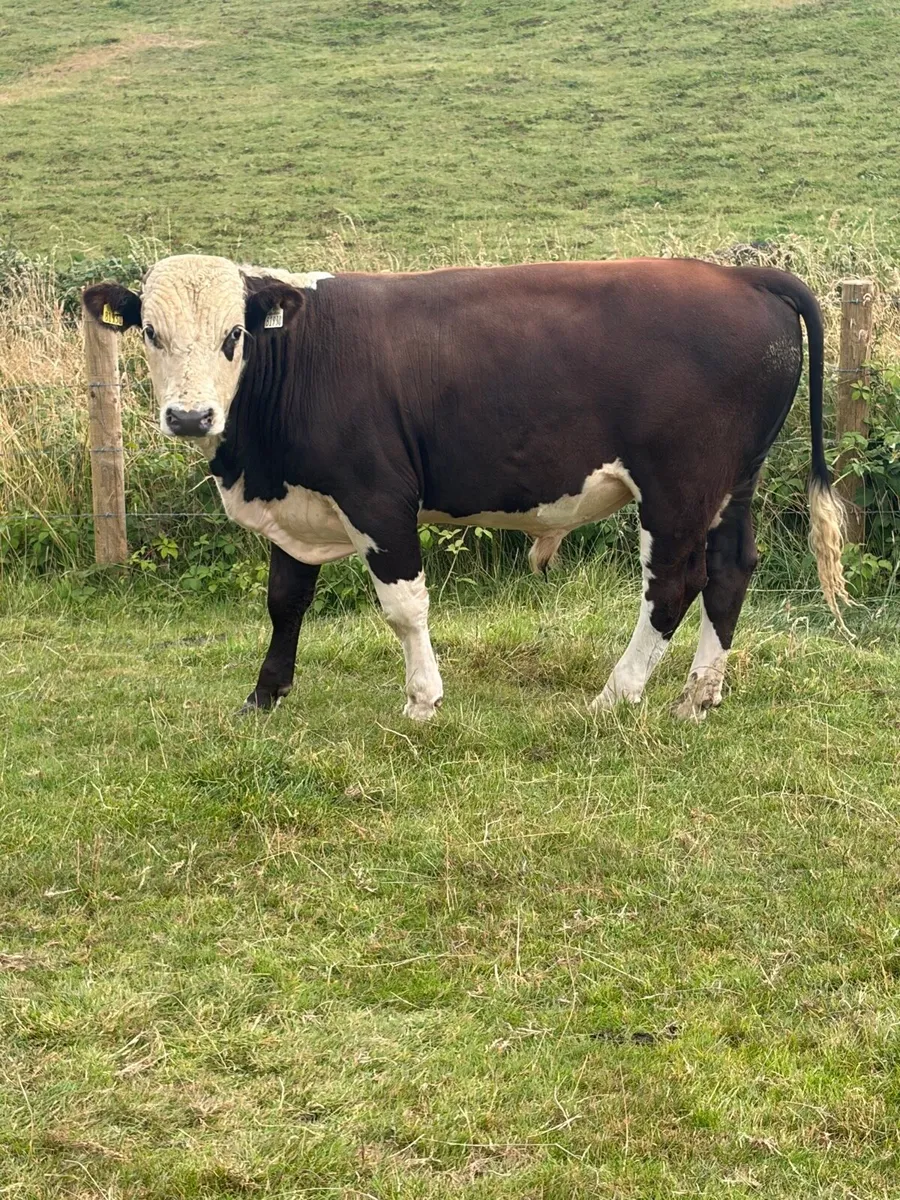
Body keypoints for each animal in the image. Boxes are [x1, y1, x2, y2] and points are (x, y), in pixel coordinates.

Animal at [83, 254, 850, 723]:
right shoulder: (298, 505)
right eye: (150, 333)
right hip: (733, 483)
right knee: (730, 571)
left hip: (679, 486)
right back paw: (698, 695)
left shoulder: (378, 496)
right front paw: (265, 696)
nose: (189, 416)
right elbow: (285, 602)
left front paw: (423, 700)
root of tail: (739, 274)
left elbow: (403, 607)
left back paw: (617, 694)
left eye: (234, 334)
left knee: (675, 582)